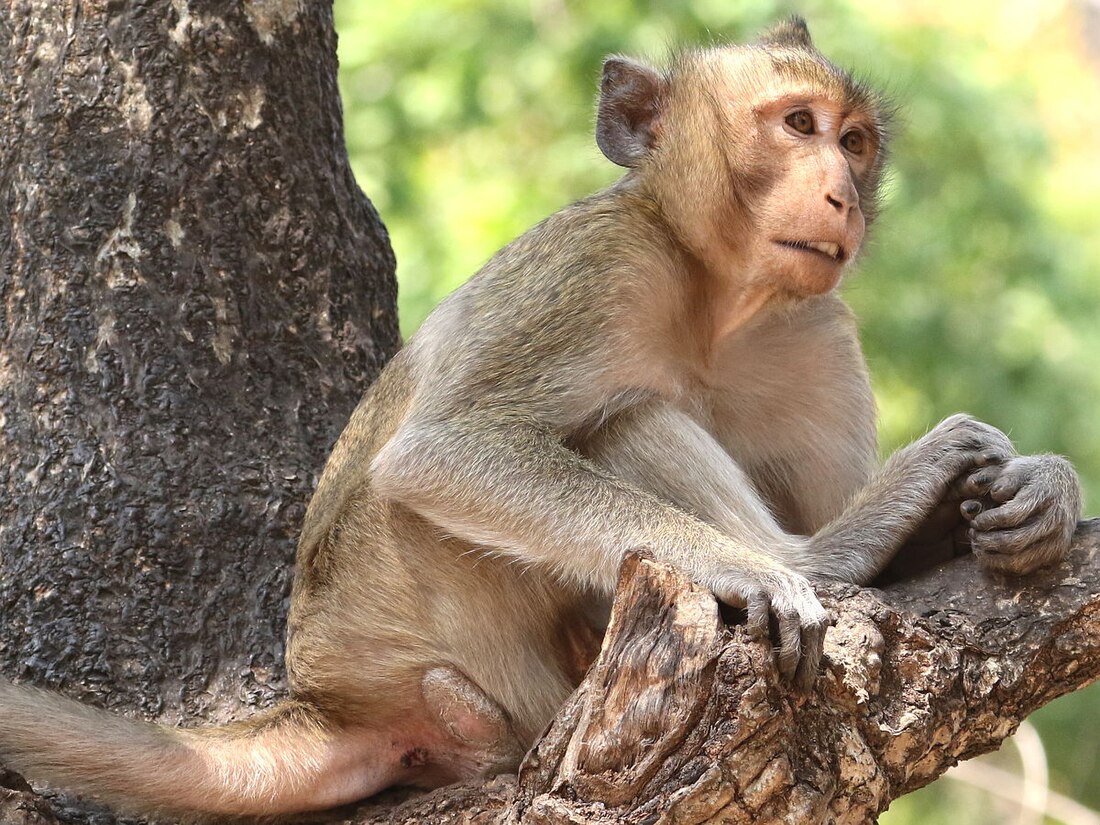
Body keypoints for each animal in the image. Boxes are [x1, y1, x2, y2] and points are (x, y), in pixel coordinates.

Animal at [0, 16, 1082, 822]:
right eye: (797, 123)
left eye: (853, 142)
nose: (838, 193)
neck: (708, 291)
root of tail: (322, 694)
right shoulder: (594, 265)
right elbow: (440, 454)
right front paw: (753, 565)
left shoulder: (813, 327)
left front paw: (1035, 494)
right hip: (426, 613)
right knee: (619, 425)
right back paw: (811, 559)